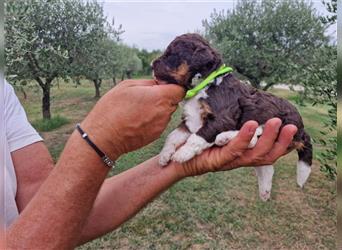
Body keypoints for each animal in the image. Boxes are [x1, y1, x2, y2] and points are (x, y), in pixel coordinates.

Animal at [152, 33, 312, 201]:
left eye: (171, 54)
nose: (151, 65)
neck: (205, 84)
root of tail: (302, 129)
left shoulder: (222, 118)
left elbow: (198, 136)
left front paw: (182, 154)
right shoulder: (190, 120)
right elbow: (173, 135)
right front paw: (164, 155)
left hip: (278, 121)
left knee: (255, 136)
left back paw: (224, 138)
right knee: (265, 164)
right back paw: (264, 191)